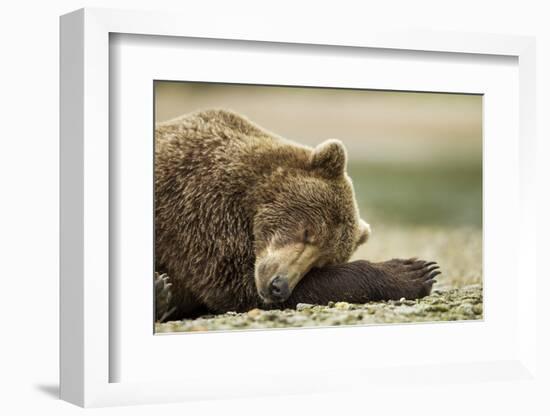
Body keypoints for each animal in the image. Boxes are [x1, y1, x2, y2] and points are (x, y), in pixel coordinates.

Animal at [154, 109, 440, 320]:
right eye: (307, 231)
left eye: (321, 261)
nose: (278, 286)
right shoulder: (200, 211)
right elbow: (233, 283)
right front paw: (413, 271)